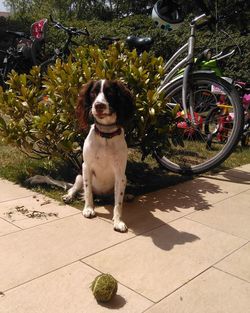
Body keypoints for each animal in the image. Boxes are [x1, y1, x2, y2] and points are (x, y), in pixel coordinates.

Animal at [62, 79, 136, 230]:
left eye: (110, 93)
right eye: (93, 93)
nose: (99, 106)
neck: (106, 135)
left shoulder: (120, 174)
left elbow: (118, 203)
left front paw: (118, 221)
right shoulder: (86, 167)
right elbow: (88, 191)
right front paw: (89, 209)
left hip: (125, 179)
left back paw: (127, 196)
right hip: (80, 175)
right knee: (75, 188)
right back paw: (69, 196)